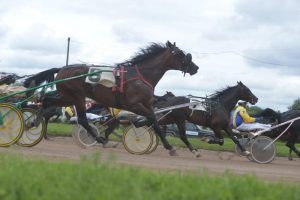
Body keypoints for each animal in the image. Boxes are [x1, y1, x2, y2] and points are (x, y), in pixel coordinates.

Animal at [26, 41, 199, 155]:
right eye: (181, 54)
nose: (195, 67)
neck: (140, 76)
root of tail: (62, 69)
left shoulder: (147, 105)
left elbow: (153, 121)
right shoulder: (134, 105)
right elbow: (152, 120)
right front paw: (171, 147)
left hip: (67, 97)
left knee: (46, 101)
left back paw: (34, 122)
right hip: (77, 97)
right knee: (82, 119)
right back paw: (102, 140)